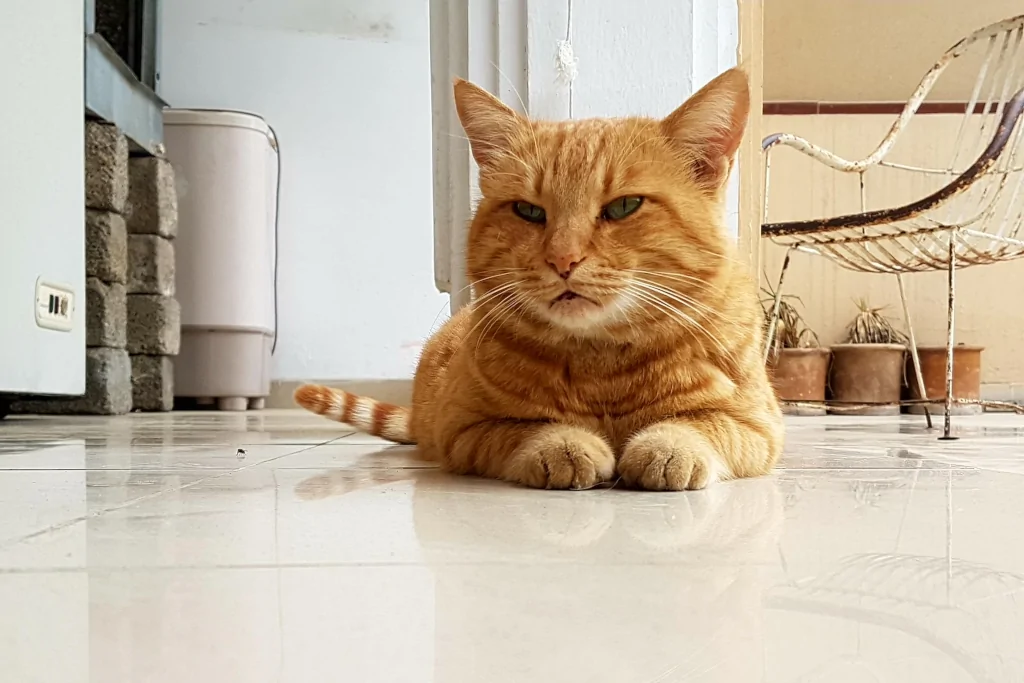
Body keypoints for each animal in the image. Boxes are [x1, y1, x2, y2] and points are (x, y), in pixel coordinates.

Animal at [296, 66, 782, 489]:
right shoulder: (465, 429)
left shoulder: (758, 425)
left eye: (624, 207)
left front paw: (668, 446)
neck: (601, 366)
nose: (562, 259)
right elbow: (525, 430)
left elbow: (703, 425)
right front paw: (563, 445)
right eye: (528, 211)